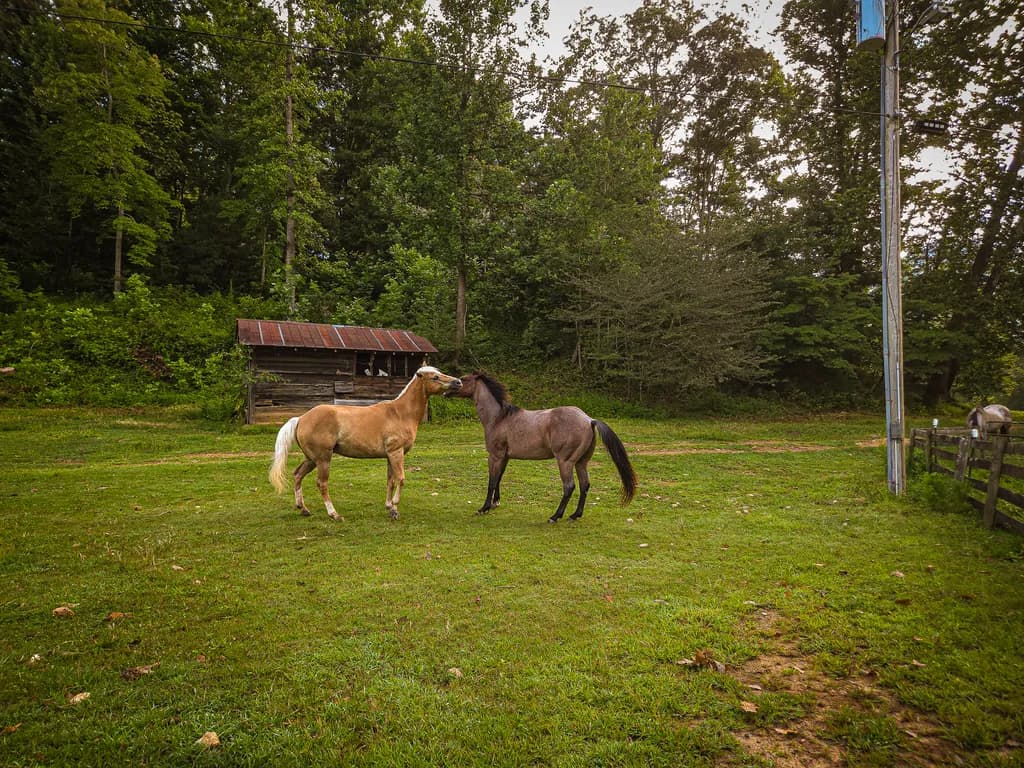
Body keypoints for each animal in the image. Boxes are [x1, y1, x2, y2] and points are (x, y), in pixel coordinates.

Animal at [269, 366, 461, 521]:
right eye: (435, 377)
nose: (458, 382)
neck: (399, 413)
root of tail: (301, 418)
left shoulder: (390, 456)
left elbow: (390, 481)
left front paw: (389, 507)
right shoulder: (396, 453)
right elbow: (401, 479)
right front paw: (395, 508)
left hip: (311, 459)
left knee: (297, 475)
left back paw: (303, 509)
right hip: (323, 459)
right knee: (321, 484)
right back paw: (334, 514)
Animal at [453, 372, 637, 523]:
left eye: (464, 379)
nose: (451, 387)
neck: (499, 418)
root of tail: (589, 420)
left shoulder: (495, 456)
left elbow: (492, 480)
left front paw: (484, 508)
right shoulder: (504, 457)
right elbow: (499, 478)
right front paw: (495, 503)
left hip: (565, 462)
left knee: (569, 486)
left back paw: (555, 516)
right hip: (581, 462)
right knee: (584, 485)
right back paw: (575, 515)